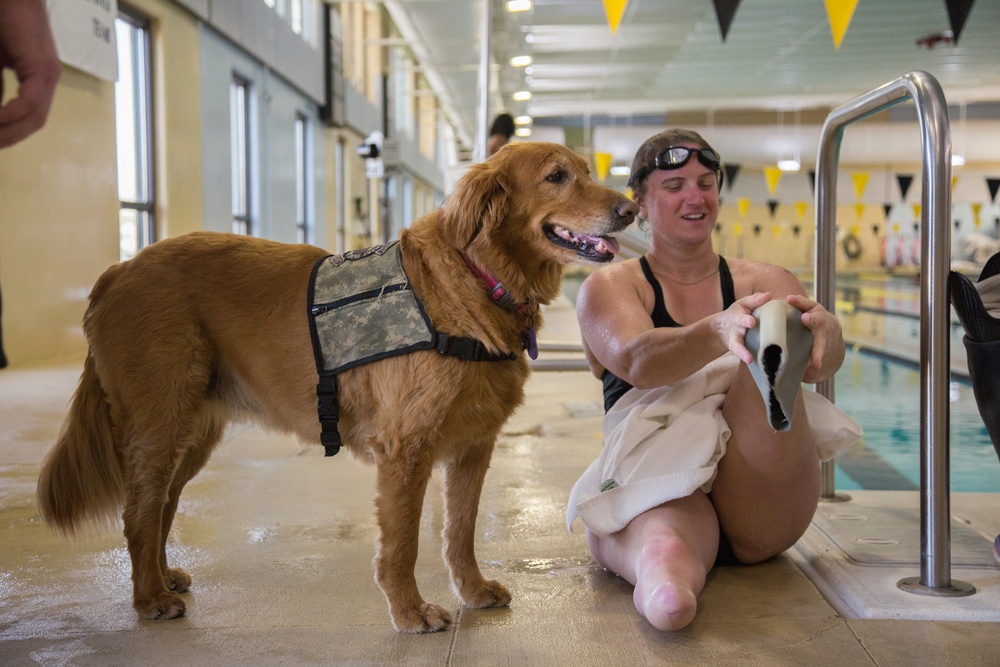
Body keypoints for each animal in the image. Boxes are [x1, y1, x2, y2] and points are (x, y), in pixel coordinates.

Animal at [37, 141, 640, 632]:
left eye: (587, 170)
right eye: (557, 176)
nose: (630, 209)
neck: (475, 279)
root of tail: (118, 271)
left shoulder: (474, 446)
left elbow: (460, 530)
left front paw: (471, 590)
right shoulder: (406, 450)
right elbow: (402, 545)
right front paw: (410, 612)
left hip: (192, 435)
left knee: (161, 508)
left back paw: (163, 580)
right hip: (160, 427)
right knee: (139, 513)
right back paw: (149, 599)